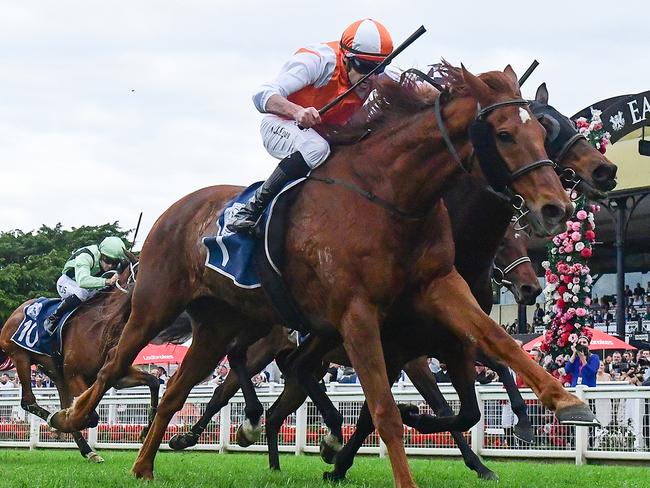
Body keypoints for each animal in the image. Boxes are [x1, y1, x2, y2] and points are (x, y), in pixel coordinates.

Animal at [0, 262, 160, 464]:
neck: (106, 323)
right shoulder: (75, 376)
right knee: (29, 402)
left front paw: (146, 431)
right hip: (21, 357)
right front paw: (58, 424)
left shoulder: (115, 374)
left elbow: (154, 381)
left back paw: (87, 449)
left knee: (62, 403)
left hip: (56, 374)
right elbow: (91, 416)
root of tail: (14, 313)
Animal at [52, 63, 592, 484]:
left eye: (540, 133)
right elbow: (385, 411)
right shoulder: (358, 315)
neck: (391, 196)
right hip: (157, 302)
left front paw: (564, 401)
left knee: (180, 390)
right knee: (116, 363)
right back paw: (73, 416)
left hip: (218, 324)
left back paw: (146, 464)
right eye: (504, 134)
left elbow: (495, 346)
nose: (556, 207)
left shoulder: (437, 291)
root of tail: (175, 211)